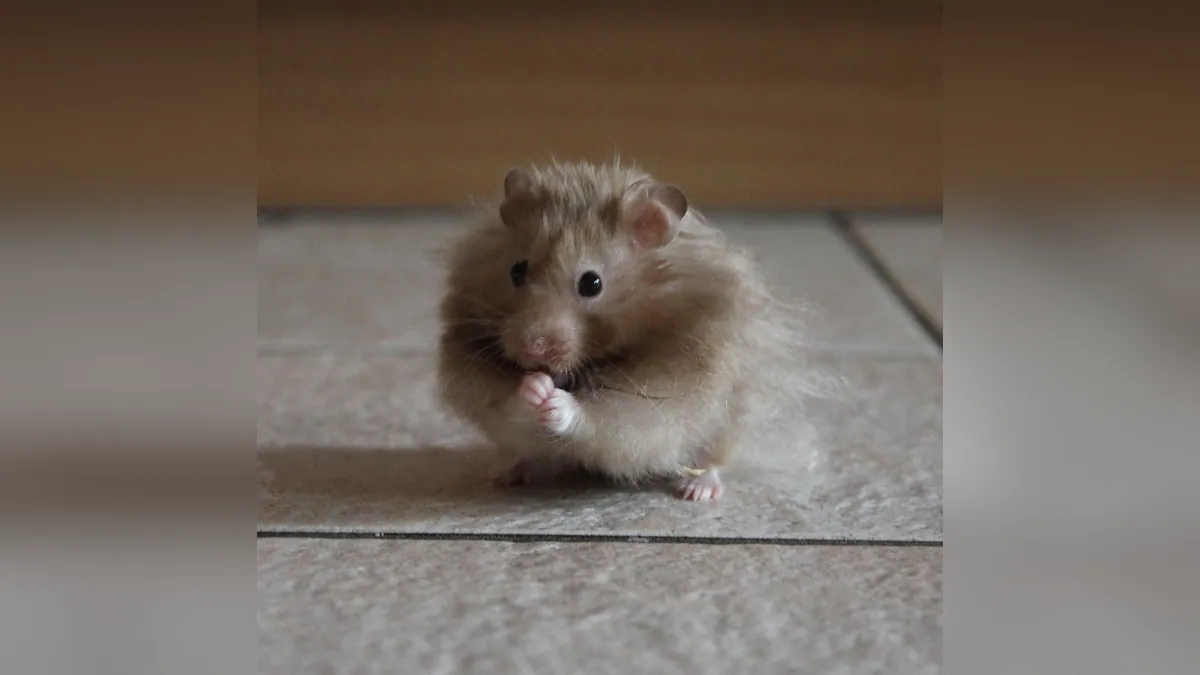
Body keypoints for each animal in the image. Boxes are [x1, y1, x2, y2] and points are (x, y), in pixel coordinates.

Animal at [437, 159, 807, 501]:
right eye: (516, 271)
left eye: (592, 283)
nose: (532, 348)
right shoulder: (480, 386)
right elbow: (508, 402)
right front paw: (534, 388)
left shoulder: (658, 398)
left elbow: (597, 416)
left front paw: (555, 401)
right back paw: (503, 476)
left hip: (730, 419)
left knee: (713, 460)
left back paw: (697, 491)